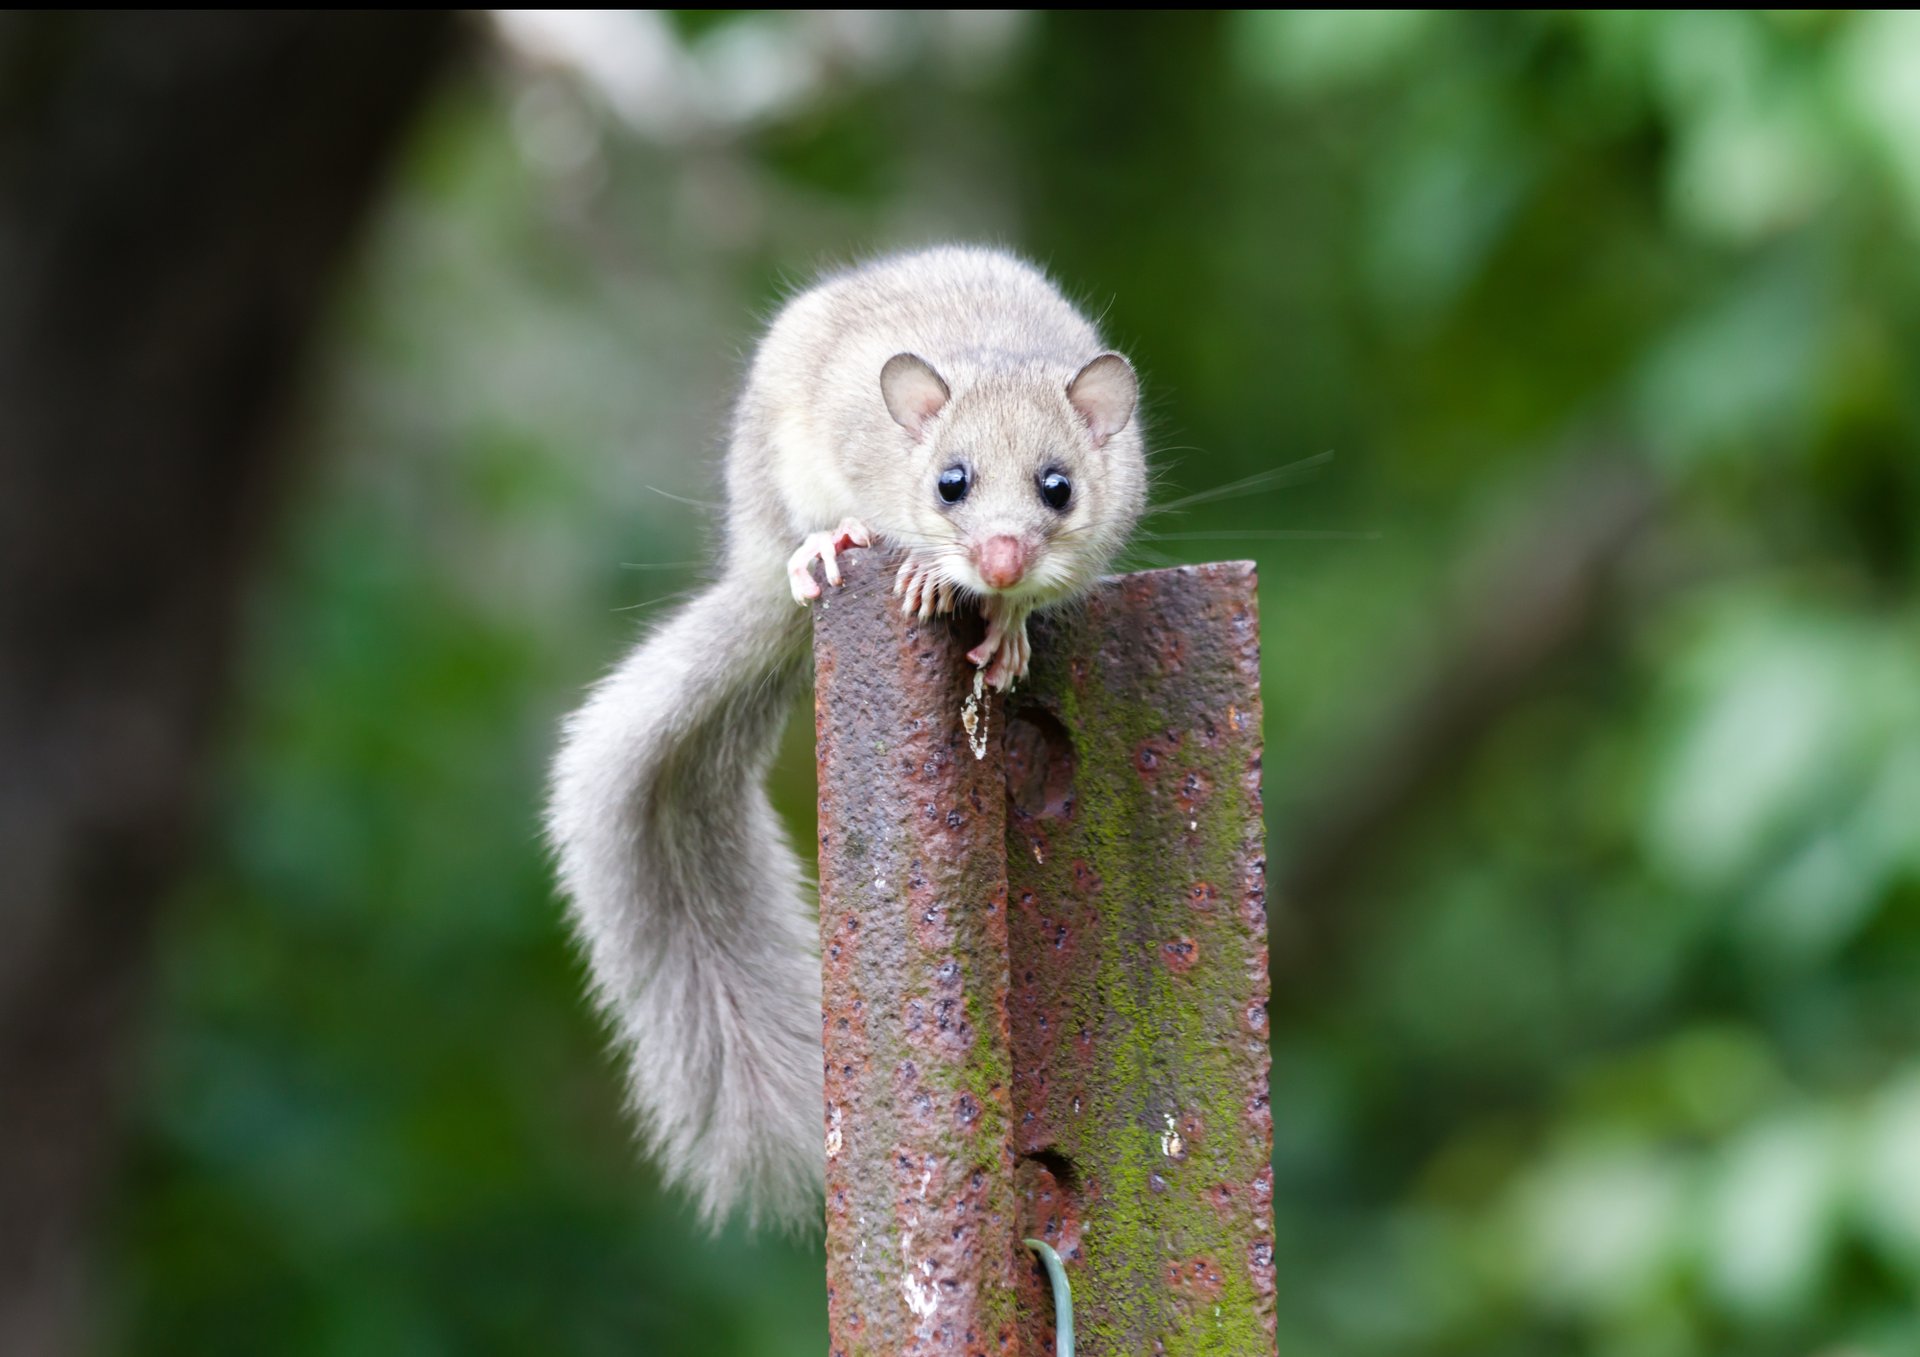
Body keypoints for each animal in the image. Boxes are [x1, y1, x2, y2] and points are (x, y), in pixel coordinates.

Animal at [545, 245, 1147, 1229]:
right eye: (950, 481)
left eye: (1059, 486)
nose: (1000, 562)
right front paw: (917, 570)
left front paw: (1009, 626)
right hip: (770, 478)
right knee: (790, 546)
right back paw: (824, 548)